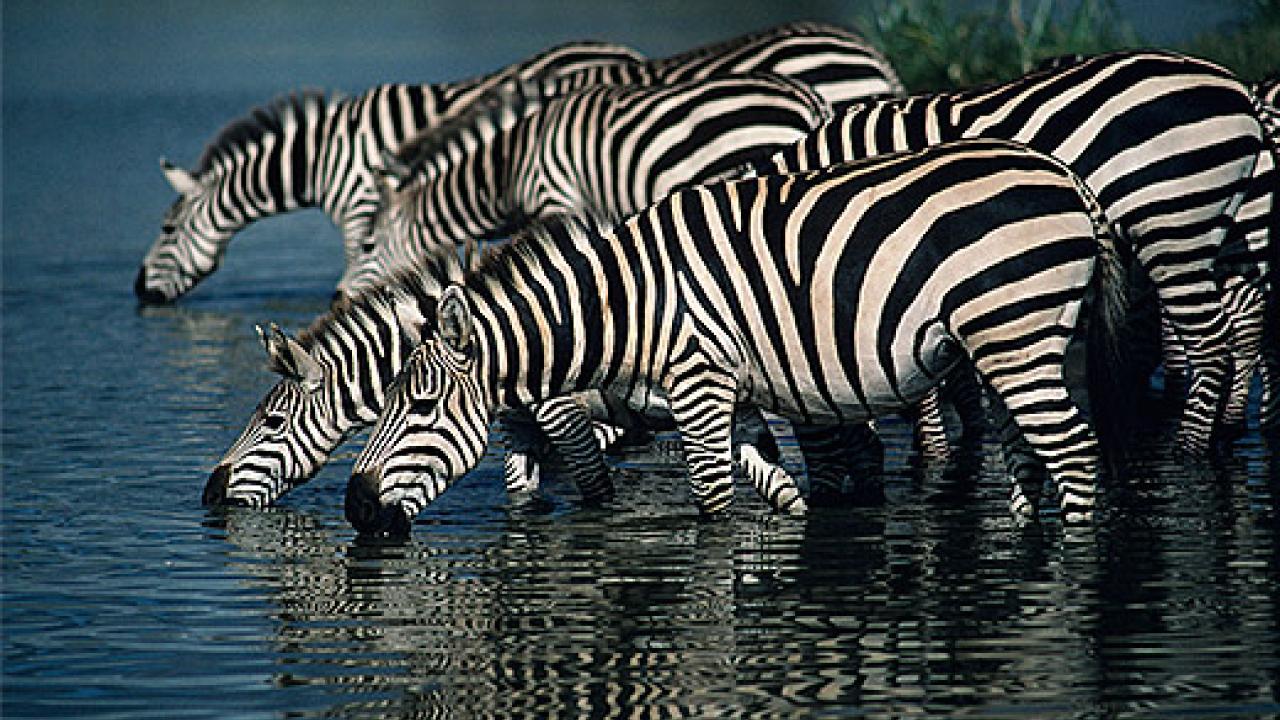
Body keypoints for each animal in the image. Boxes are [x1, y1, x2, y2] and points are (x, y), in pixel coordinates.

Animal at [346, 138, 1128, 536]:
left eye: (418, 407)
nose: (355, 508)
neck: (629, 308)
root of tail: (1065, 174)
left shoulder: (699, 383)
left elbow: (716, 505)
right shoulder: (727, 396)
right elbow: (779, 490)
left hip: (1017, 331)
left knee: (1074, 452)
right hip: (1000, 345)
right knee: (1030, 457)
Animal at [759, 49, 1273, 455]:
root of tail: (1236, 87)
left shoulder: (898, 270)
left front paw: (933, 456)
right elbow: (955, 378)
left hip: (1172, 225)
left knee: (1211, 341)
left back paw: (1190, 452)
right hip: (1229, 229)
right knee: (1247, 320)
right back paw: (1234, 428)